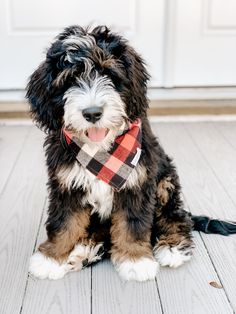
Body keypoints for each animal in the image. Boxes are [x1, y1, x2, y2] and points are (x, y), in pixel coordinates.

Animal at [26, 25, 236, 282]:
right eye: (70, 79)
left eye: (109, 75)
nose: (92, 113)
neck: (101, 152)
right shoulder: (67, 184)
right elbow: (64, 222)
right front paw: (52, 257)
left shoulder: (138, 182)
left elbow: (132, 223)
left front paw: (136, 260)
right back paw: (84, 251)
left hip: (165, 182)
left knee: (175, 218)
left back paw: (172, 247)